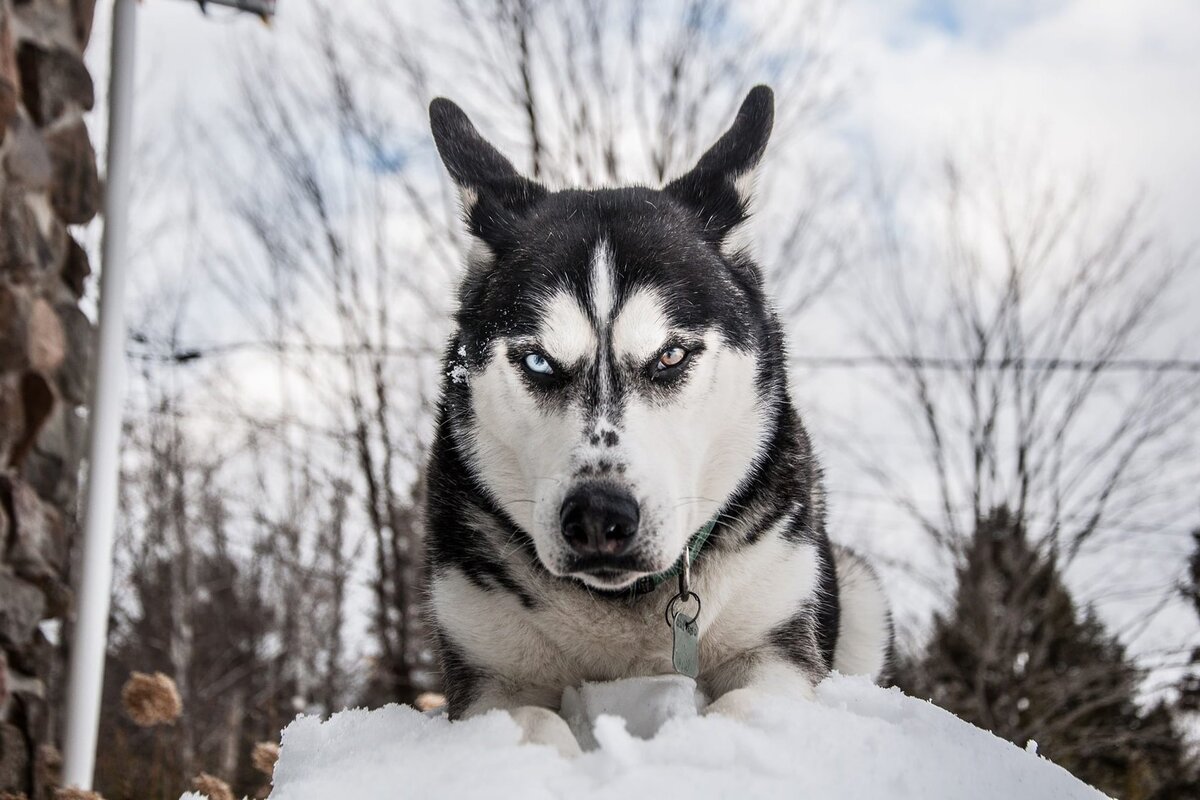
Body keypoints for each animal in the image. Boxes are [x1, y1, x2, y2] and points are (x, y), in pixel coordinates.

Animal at [422, 87, 892, 758]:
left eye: (670, 355)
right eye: (538, 361)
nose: (598, 515)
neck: (622, 608)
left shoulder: (775, 650)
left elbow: (744, 709)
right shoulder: (490, 673)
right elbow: (529, 723)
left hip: (859, 590)